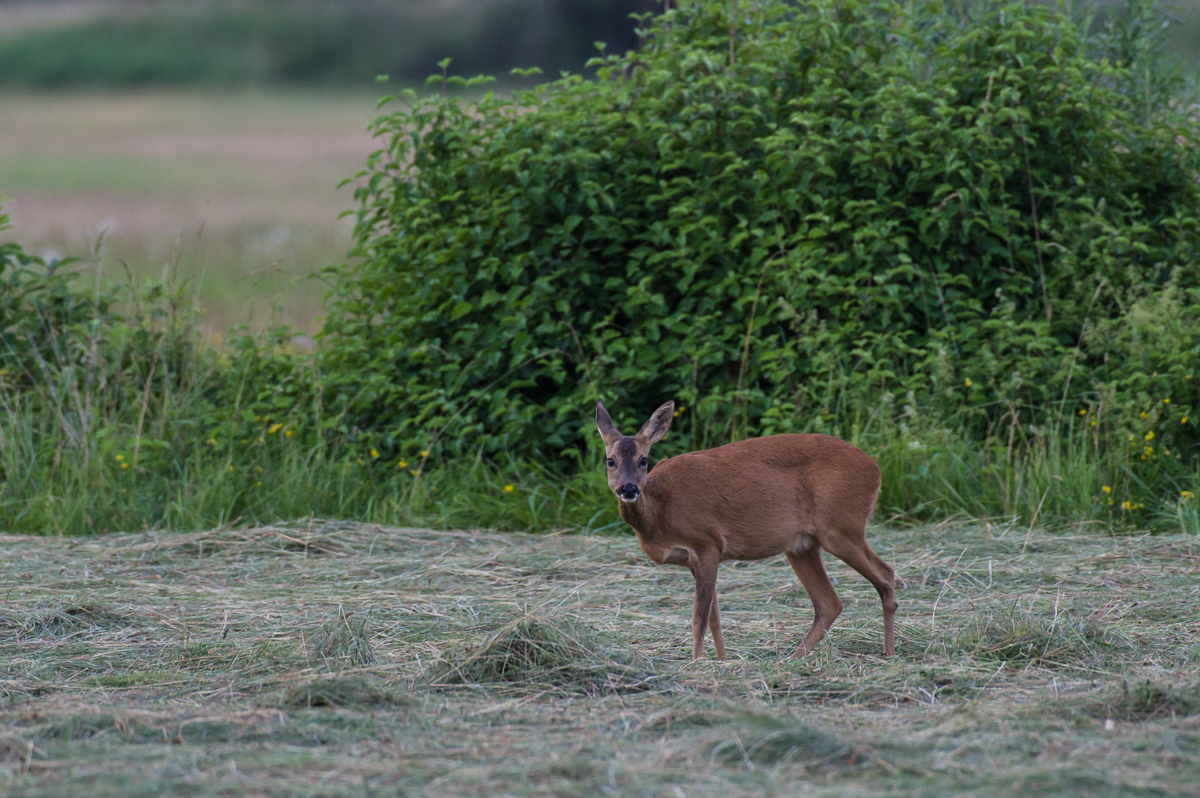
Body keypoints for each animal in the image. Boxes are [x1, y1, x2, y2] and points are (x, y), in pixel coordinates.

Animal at [595, 400, 897, 657]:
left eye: (643, 460)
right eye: (610, 460)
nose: (629, 489)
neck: (659, 513)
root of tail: (876, 468)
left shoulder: (708, 543)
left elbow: (698, 619)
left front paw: (696, 664)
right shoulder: (694, 559)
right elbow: (714, 618)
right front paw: (722, 662)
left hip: (840, 526)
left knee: (885, 575)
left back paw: (889, 652)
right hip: (802, 545)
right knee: (830, 603)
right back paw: (791, 659)